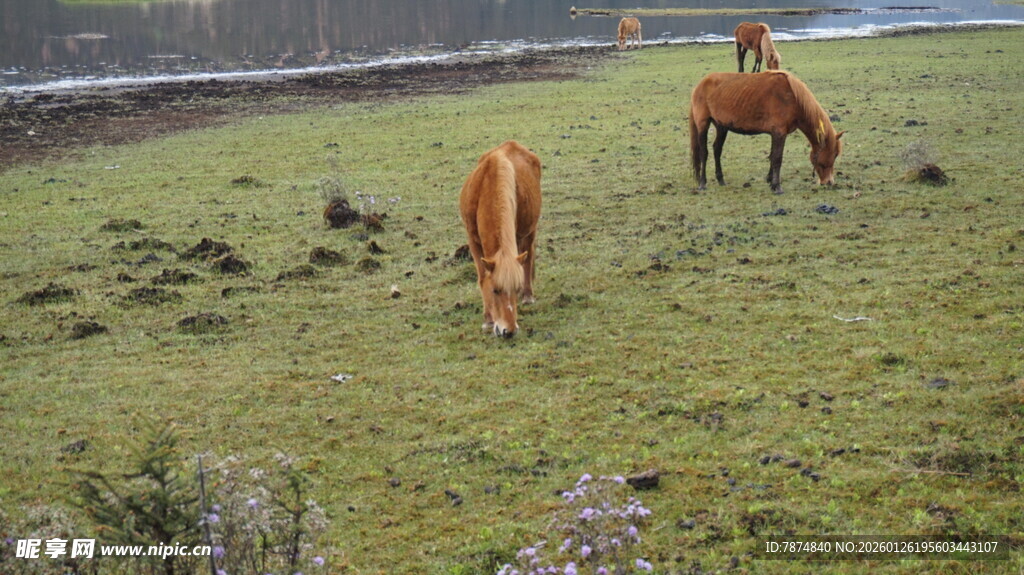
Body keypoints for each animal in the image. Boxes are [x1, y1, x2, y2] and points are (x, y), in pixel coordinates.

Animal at [459, 141, 542, 338]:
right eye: (495, 290)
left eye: (516, 289)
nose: (509, 331)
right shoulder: (473, 241)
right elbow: (483, 277)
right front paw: (488, 320)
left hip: (529, 230)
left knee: (528, 258)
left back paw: (528, 295)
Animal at [689, 71, 844, 194]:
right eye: (833, 154)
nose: (829, 182)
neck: (792, 98)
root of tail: (700, 85)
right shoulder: (780, 133)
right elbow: (777, 158)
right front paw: (777, 187)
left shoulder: (775, 134)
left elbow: (772, 156)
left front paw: (771, 182)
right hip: (703, 124)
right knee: (704, 153)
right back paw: (702, 183)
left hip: (722, 127)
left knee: (717, 150)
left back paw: (721, 180)